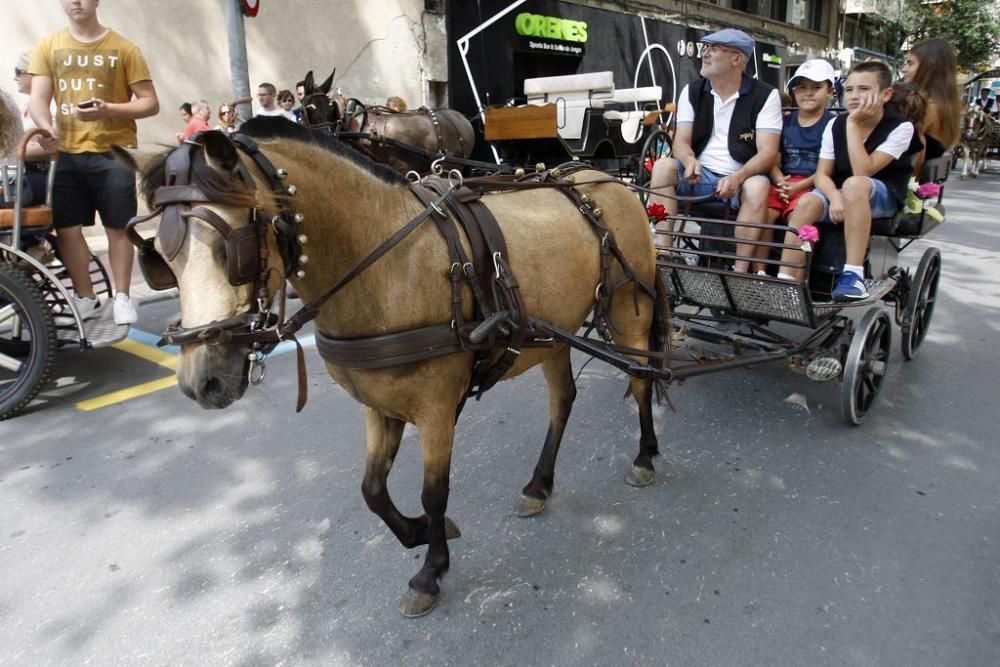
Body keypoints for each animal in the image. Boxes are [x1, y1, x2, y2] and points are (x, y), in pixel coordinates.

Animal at [113, 117, 668, 620]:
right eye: (160, 259)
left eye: (232, 252)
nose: (200, 381)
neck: (385, 263)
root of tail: (608, 181)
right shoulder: (379, 405)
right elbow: (372, 491)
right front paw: (420, 532)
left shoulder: (437, 408)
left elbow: (434, 492)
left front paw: (430, 570)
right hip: (549, 335)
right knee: (562, 401)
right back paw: (539, 484)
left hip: (629, 313)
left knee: (642, 378)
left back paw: (645, 455)